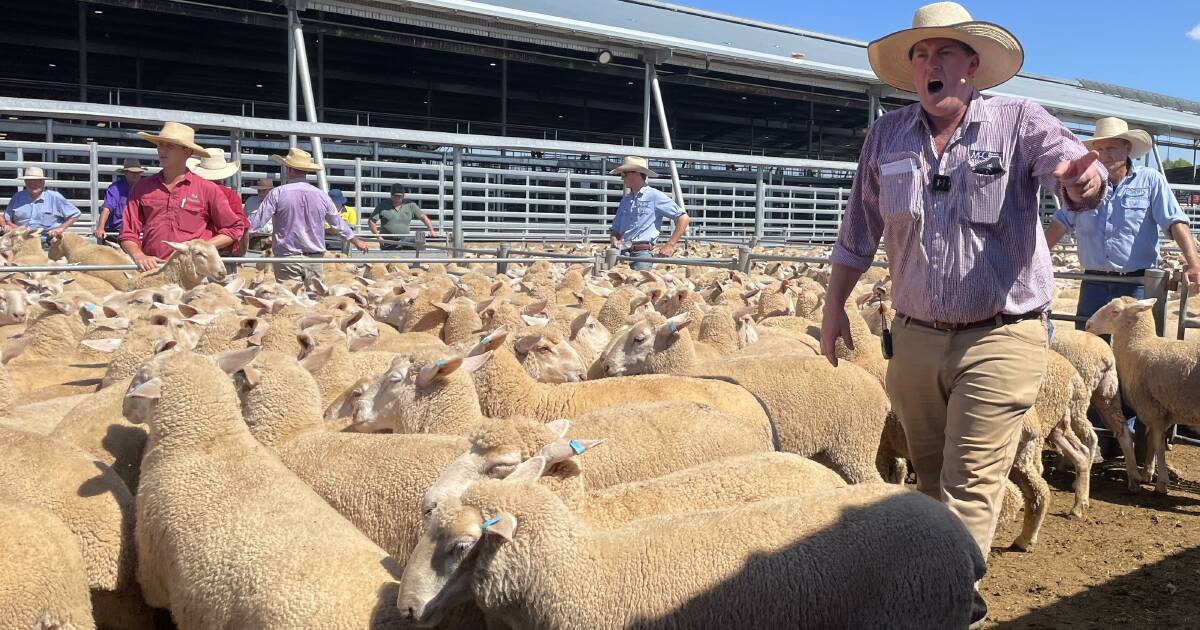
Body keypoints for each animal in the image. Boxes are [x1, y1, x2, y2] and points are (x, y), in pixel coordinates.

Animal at [1089, 297, 1200, 494]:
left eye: (1115, 311)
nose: (1088, 324)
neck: (1138, 345)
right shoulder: (1164, 411)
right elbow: (1151, 442)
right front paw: (1148, 472)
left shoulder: (1152, 408)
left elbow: (1158, 444)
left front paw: (1161, 482)